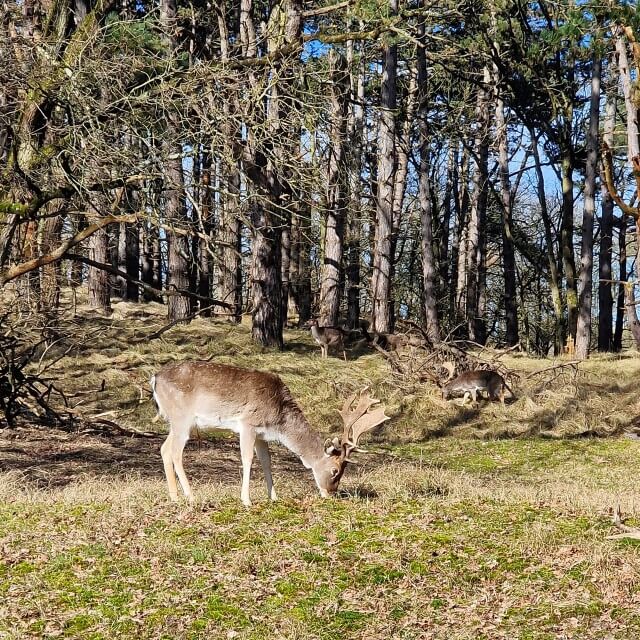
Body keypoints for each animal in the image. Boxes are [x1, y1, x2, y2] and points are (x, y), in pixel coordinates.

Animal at [151, 360, 390, 504]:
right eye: (335, 470)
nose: (331, 493)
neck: (278, 419)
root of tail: (155, 378)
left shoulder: (261, 435)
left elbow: (266, 461)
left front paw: (274, 497)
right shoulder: (247, 423)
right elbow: (247, 458)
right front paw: (246, 500)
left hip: (177, 421)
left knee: (164, 448)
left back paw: (174, 497)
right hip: (183, 418)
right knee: (175, 452)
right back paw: (191, 496)